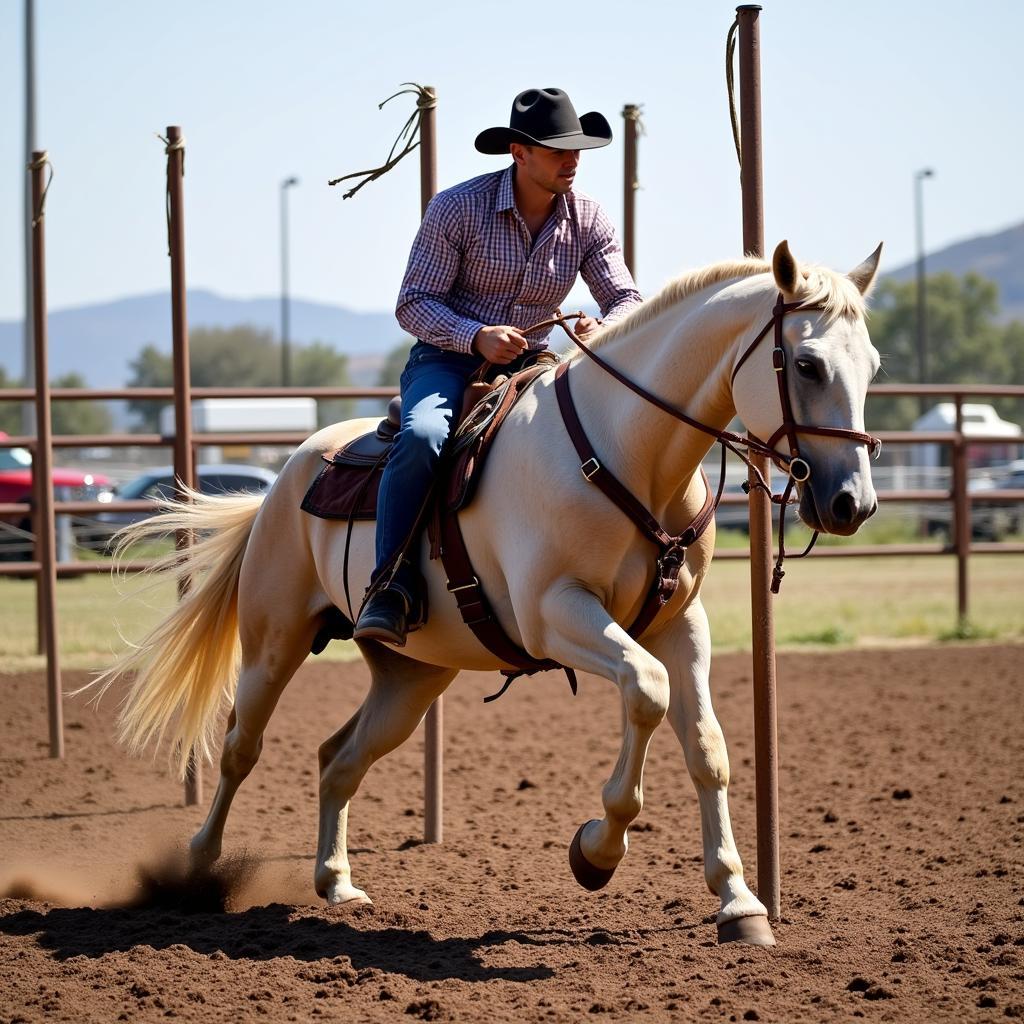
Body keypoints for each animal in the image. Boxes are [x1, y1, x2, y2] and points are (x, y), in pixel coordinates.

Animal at [92, 239, 884, 942]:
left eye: (873, 365)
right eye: (807, 363)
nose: (854, 503)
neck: (625, 451)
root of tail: (284, 479)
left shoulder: (679, 626)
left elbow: (707, 746)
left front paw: (739, 901)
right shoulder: (557, 613)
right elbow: (646, 692)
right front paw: (597, 851)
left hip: (411, 677)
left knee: (339, 758)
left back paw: (337, 882)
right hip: (272, 644)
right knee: (239, 748)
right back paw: (198, 869)